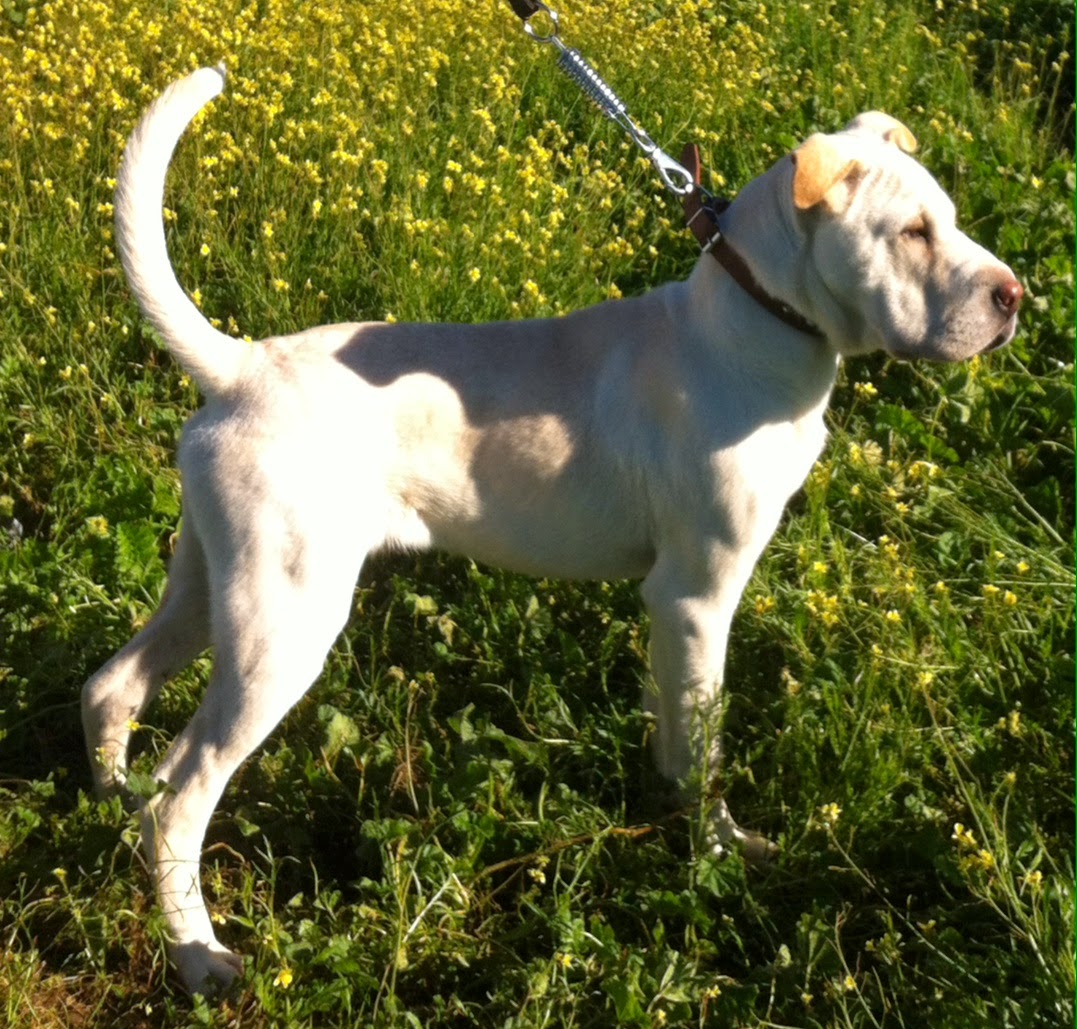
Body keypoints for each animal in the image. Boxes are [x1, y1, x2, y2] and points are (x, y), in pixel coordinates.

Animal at [79, 66, 1020, 999]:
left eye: (950, 218)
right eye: (911, 232)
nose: (1013, 297)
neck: (753, 323)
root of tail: (241, 366)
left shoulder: (670, 612)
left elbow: (676, 727)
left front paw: (673, 808)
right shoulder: (698, 594)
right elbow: (706, 744)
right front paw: (719, 848)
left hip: (212, 585)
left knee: (113, 688)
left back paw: (107, 812)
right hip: (284, 625)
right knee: (179, 796)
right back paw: (198, 953)